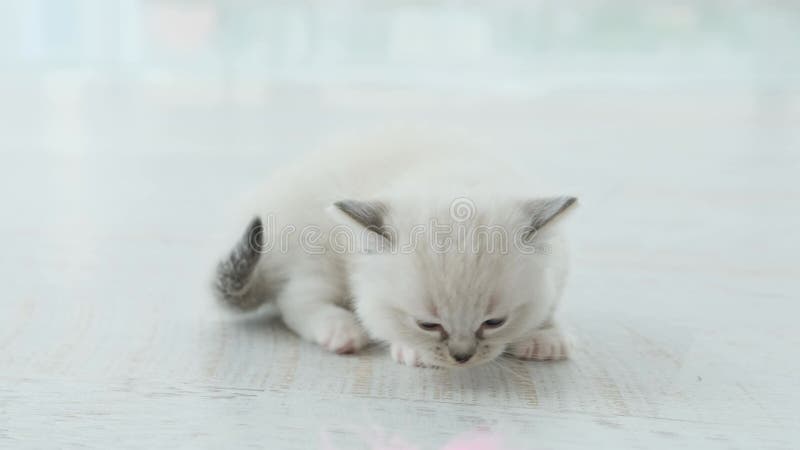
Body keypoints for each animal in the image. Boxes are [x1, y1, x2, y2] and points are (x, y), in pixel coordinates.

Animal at [212, 133, 576, 366]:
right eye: (428, 325)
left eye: (494, 322)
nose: (462, 357)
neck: (449, 176)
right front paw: (411, 350)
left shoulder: (557, 265)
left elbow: (548, 304)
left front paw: (545, 336)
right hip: (314, 247)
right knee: (295, 300)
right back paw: (340, 330)